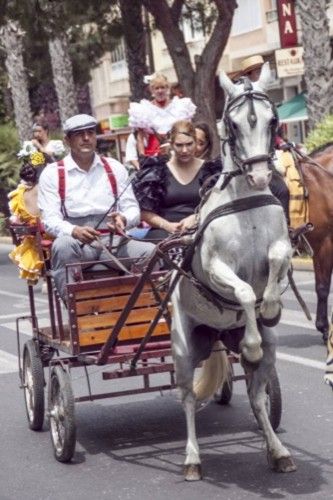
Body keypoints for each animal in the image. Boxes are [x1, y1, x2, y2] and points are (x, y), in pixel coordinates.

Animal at [171, 63, 296, 480]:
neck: (245, 204)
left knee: (258, 398)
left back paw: (278, 452)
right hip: (183, 348)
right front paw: (253, 334)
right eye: (233, 123)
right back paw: (192, 458)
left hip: (263, 352)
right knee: (187, 399)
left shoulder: (282, 248)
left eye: (273, 120)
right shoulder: (214, 268)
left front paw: (270, 307)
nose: (259, 177)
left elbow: (275, 265)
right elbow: (242, 291)